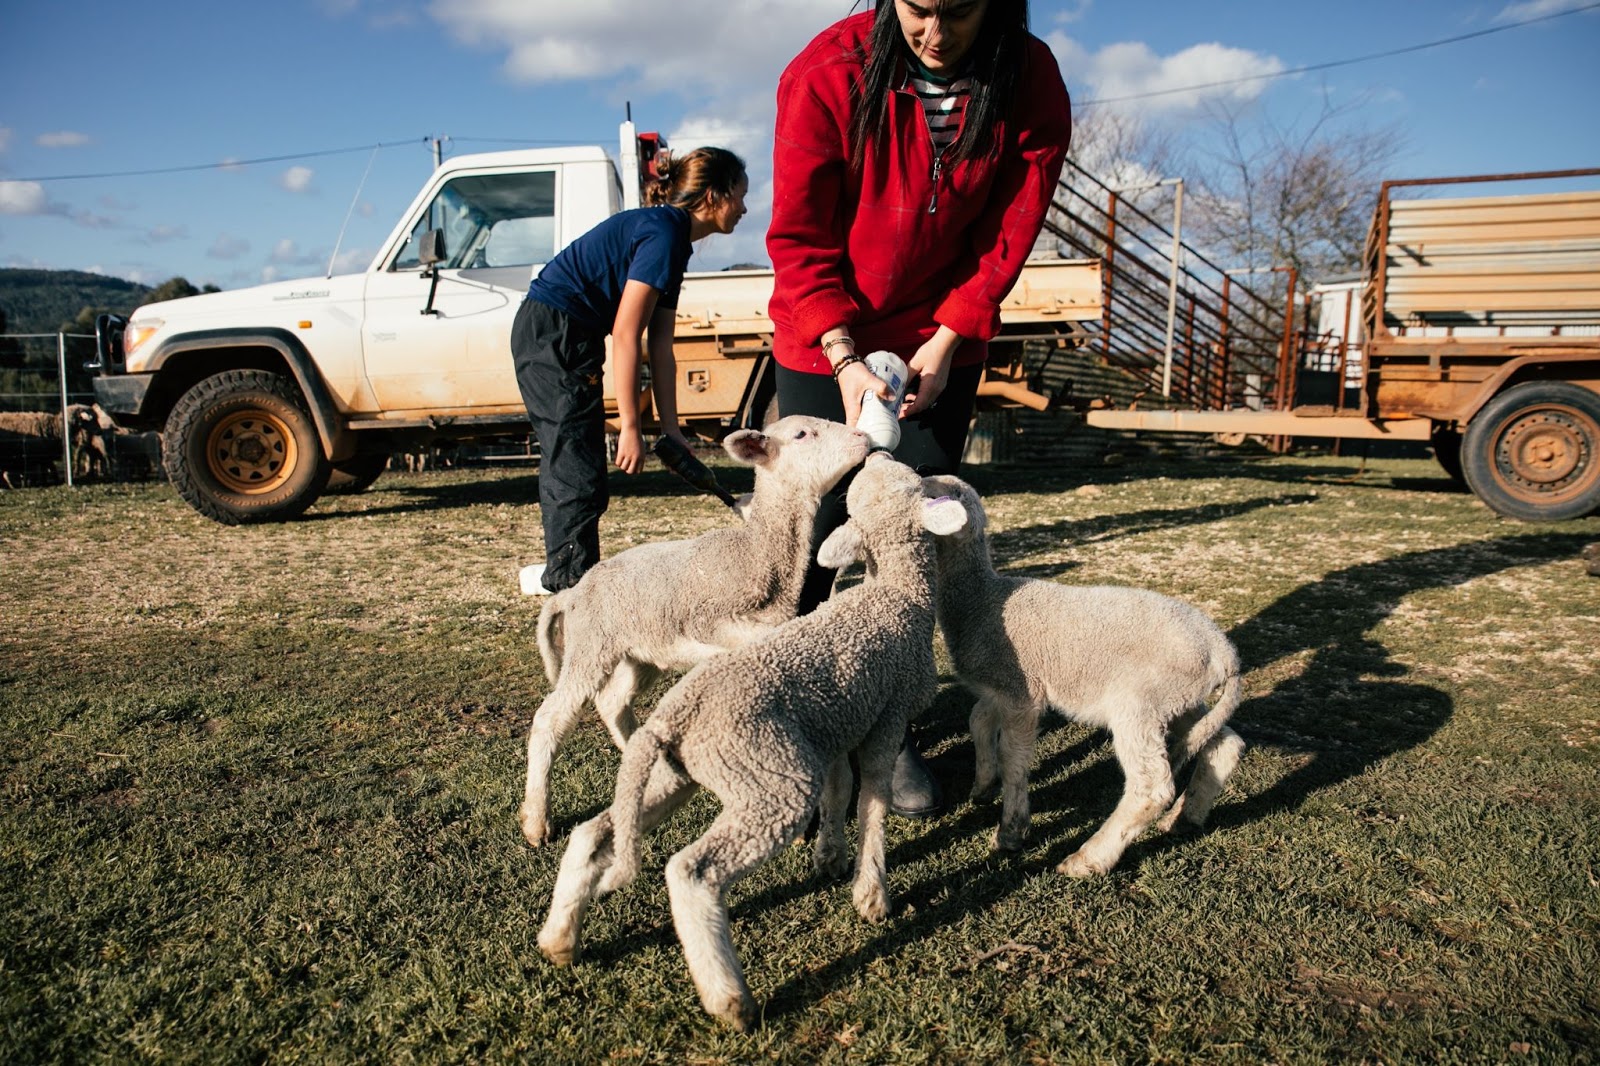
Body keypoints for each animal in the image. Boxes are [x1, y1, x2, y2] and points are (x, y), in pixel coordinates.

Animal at [521, 409, 876, 845]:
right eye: (802, 434)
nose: (863, 437)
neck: (757, 554)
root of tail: (573, 593)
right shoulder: (709, 619)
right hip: (591, 645)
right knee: (551, 717)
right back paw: (537, 821)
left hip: (641, 652)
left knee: (614, 701)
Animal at [537, 454, 960, 1030]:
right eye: (908, 480)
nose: (876, 454)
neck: (895, 593)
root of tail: (674, 718)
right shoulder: (886, 717)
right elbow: (872, 799)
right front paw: (872, 894)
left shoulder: (832, 725)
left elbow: (839, 790)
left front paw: (829, 857)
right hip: (771, 779)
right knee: (691, 874)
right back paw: (729, 999)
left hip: (680, 774)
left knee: (592, 833)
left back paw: (559, 937)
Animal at [928, 470, 1248, 870]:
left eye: (944, 493)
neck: (980, 599)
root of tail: (1223, 650)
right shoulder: (999, 685)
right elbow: (978, 719)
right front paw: (983, 785)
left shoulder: (1022, 692)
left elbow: (1013, 756)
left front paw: (1010, 832)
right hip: (1179, 699)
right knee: (1224, 745)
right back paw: (1184, 817)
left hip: (1140, 701)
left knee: (1151, 785)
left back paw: (1088, 859)